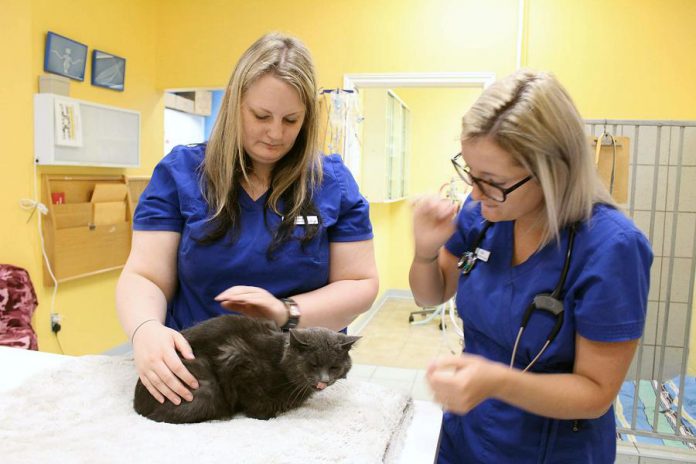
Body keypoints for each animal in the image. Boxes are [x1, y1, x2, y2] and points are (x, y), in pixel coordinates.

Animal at [133, 314, 358, 422]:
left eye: (334, 367)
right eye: (313, 365)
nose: (324, 380)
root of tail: (137, 406)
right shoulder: (236, 358)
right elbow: (256, 400)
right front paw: (266, 414)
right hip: (205, 387)